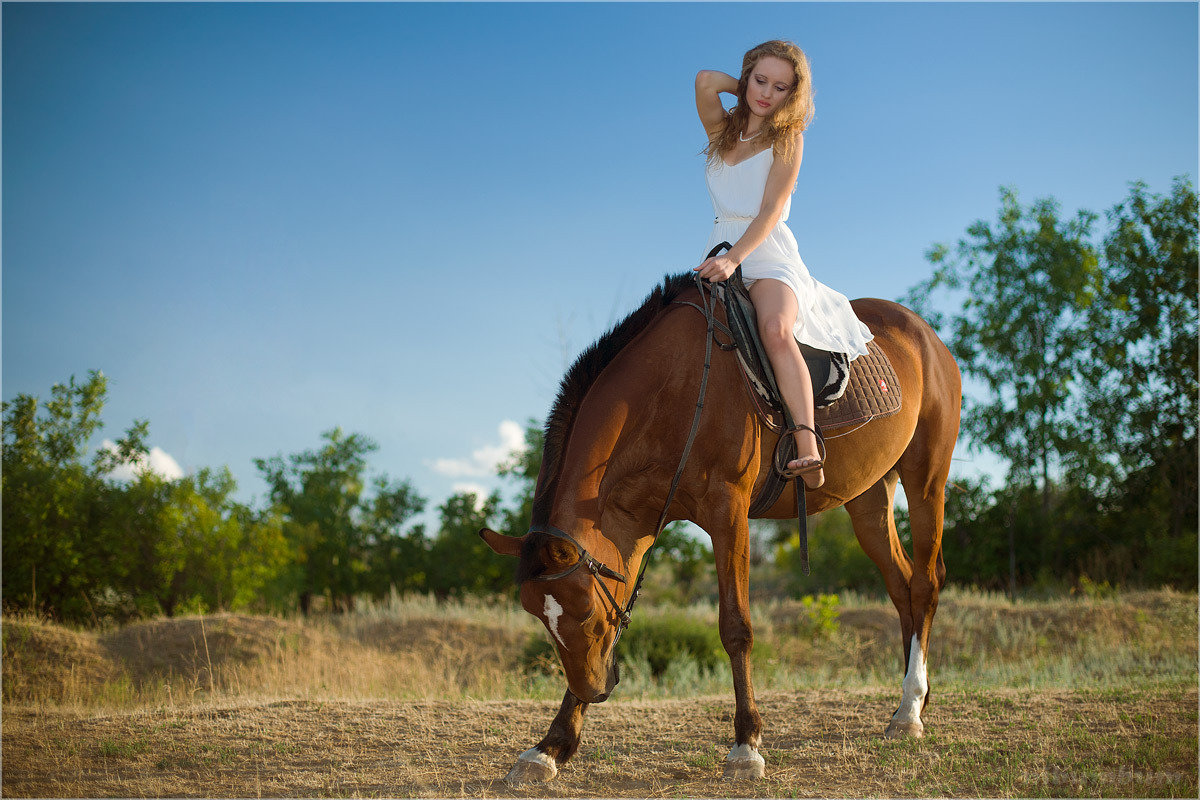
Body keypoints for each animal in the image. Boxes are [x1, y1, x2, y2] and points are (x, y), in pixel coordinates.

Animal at [482, 273, 960, 782]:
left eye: (586, 611)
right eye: (537, 615)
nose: (595, 690)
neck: (674, 387)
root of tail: (926, 336)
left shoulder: (727, 510)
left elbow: (736, 628)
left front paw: (746, 745)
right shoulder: (633, 526)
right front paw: (550, 747)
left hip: (926, 477)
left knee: (925, 582)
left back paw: (910, 710)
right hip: (869, 498)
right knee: (901, 584)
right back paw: (912, 701)